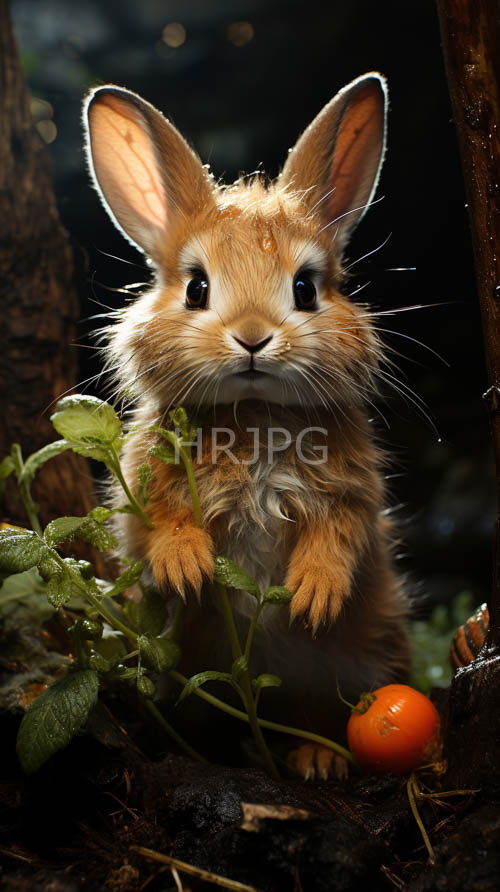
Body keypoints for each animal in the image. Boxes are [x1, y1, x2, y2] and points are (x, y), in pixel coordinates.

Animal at [83, 73, 410, 779]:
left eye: (307, 288)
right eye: (197, 288)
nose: (255, 338)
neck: (256, 415)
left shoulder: (353, 494)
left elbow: (339, 536)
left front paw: (311, 596)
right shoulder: (143, 491)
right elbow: (160, 527)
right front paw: (188, 570)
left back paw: (315, 759)